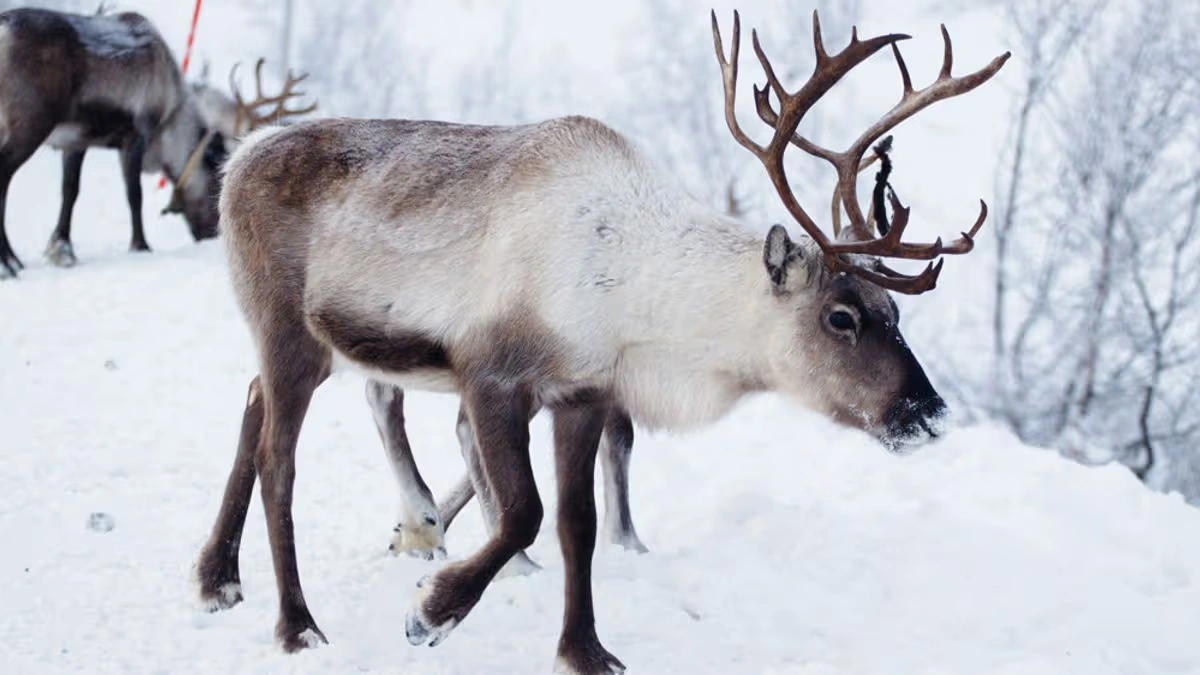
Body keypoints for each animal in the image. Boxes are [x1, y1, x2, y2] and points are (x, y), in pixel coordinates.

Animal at [195, 9, 1008, 673]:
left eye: (894, 311)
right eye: (841, 316)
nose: (929, 413)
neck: (641, 298)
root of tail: (240, 156)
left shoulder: (583, 394)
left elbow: (577, 524)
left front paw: (583, 650)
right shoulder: (492, 375)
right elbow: (524, 510)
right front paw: (430, 611)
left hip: (303, 344)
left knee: (250, 402)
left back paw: (217, 578)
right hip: (288, 328)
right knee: (279, 458)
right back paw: (297, 625)